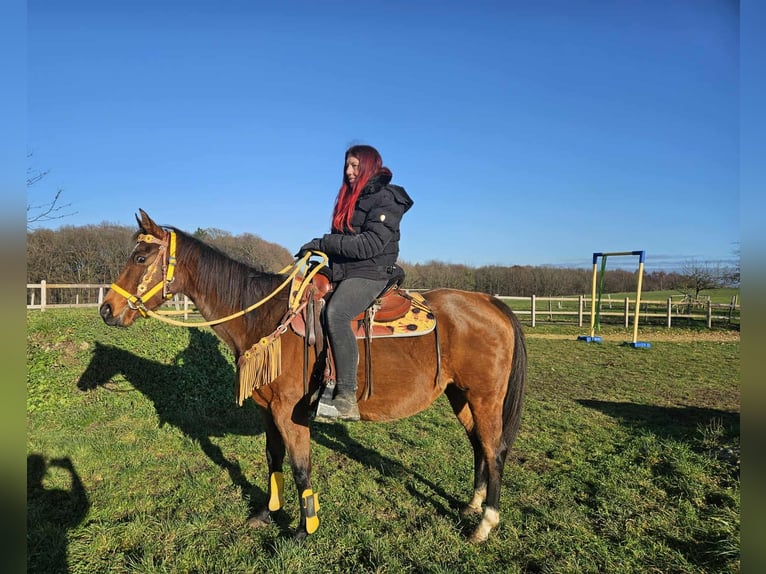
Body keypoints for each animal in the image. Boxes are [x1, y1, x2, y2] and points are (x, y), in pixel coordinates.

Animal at [99, 209, 527, 543]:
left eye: (141, 257)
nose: (107, 309)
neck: (266, 317)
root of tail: (491, 303)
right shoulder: (267, 409)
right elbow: (273, 458)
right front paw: (266, 513)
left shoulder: (290, 412)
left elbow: (301, 467)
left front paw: (305, 529)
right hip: (461, 395)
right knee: (478, 446)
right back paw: (471, 506)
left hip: (485, 397)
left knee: (495, 450)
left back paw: (484, 524)